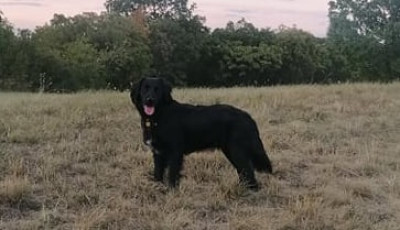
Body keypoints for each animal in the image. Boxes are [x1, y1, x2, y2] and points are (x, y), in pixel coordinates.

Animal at [130, 76, 272, 190]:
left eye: (157, 89)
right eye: (145, 89)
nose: (149, 100)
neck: (160, 114)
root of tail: (248, 117)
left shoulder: (175, 152)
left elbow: (172, 174)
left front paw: (171, 191)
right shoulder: (158, 153)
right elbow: (157, 173)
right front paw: (156, 187)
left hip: (237, 151)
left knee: (249, 173)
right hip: (231, 151)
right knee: (244, 172)